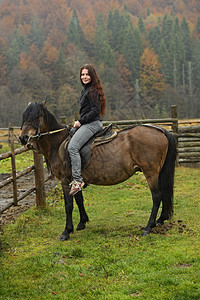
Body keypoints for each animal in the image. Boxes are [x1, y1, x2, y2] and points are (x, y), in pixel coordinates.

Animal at [19, 102, 177, 240]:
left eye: (37, 117)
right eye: (24, 117)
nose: (23, 138)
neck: (57, 143)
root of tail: (160, 130)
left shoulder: (65, 180)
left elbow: (69, 205)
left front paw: (66, 231)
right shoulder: (75, 179)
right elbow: (79, 199)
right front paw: (82, 222)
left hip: (151, 173)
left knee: (157, 196)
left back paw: (148, 226)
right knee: (163, 194)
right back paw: (160, 219)